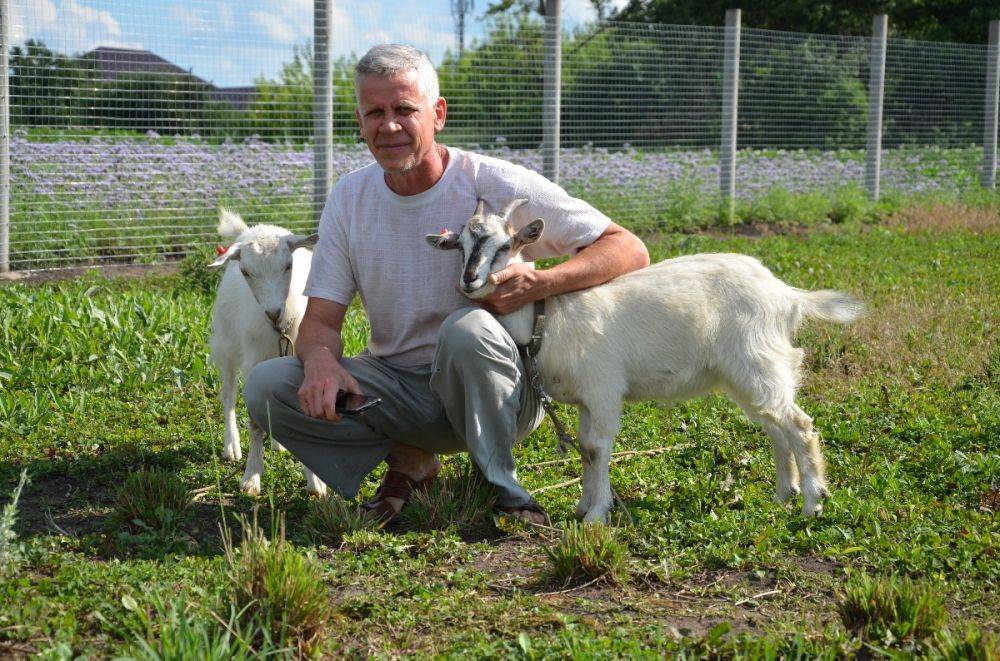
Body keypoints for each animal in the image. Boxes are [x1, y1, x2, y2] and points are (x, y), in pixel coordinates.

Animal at [207, 208, 324, 496]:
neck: (279, 330)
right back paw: (231, 446)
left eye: (288, 265)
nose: (273, 312)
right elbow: (254, 421)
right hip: (227, 344)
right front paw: (251, 477)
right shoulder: (253, 362)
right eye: (246, 271)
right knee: (228, 396)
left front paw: (315, 481)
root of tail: (253, 229)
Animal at [426, 199, 864, 524]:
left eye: (504, 247)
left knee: (799, 426)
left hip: (758, 362)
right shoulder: (586, 400)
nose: (469, 279)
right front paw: (584, 505)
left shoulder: (603, 389)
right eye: (460, 245)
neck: (546, 318)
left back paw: (812, 504)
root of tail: (787, 295)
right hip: (746, 373)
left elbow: (597, 447)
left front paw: (596, 516)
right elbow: (585, 448)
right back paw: (784, 495)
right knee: (776, 427)